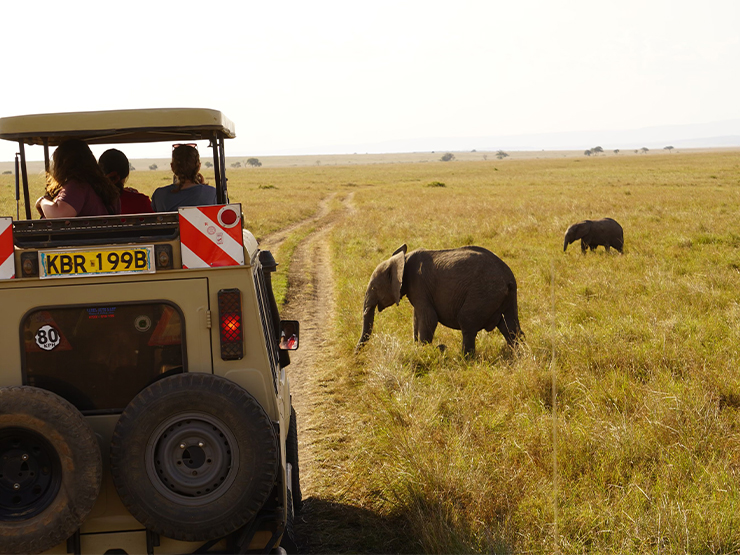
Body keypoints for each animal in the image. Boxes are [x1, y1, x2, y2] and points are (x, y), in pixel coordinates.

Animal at [355, 244, 523, 356]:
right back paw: (519, 356)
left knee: (467, 322)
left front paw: (423, 353)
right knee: (510, 327)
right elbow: (417, 319)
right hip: (505, 297)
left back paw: (464, 360)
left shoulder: (419, 284)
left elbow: (429, 318)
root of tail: (509, 278)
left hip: (484, 293)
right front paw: (417, 349)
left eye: (374, 288)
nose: (355, 356)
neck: (403, 259)